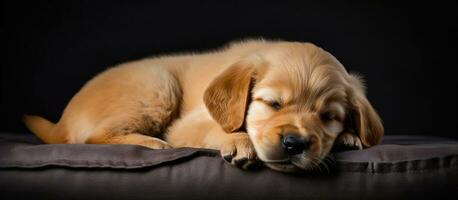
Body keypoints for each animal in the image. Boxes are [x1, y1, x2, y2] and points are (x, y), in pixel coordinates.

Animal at [24, 39, 382, 172]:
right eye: (272, 103)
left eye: (328, 117)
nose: (295, 144)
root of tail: (61, 121)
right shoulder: (185, 124)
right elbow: (214, 128)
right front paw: (237, 141)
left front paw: (349, 137)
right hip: (158, 83)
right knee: (91, 138)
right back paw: (152, 143)